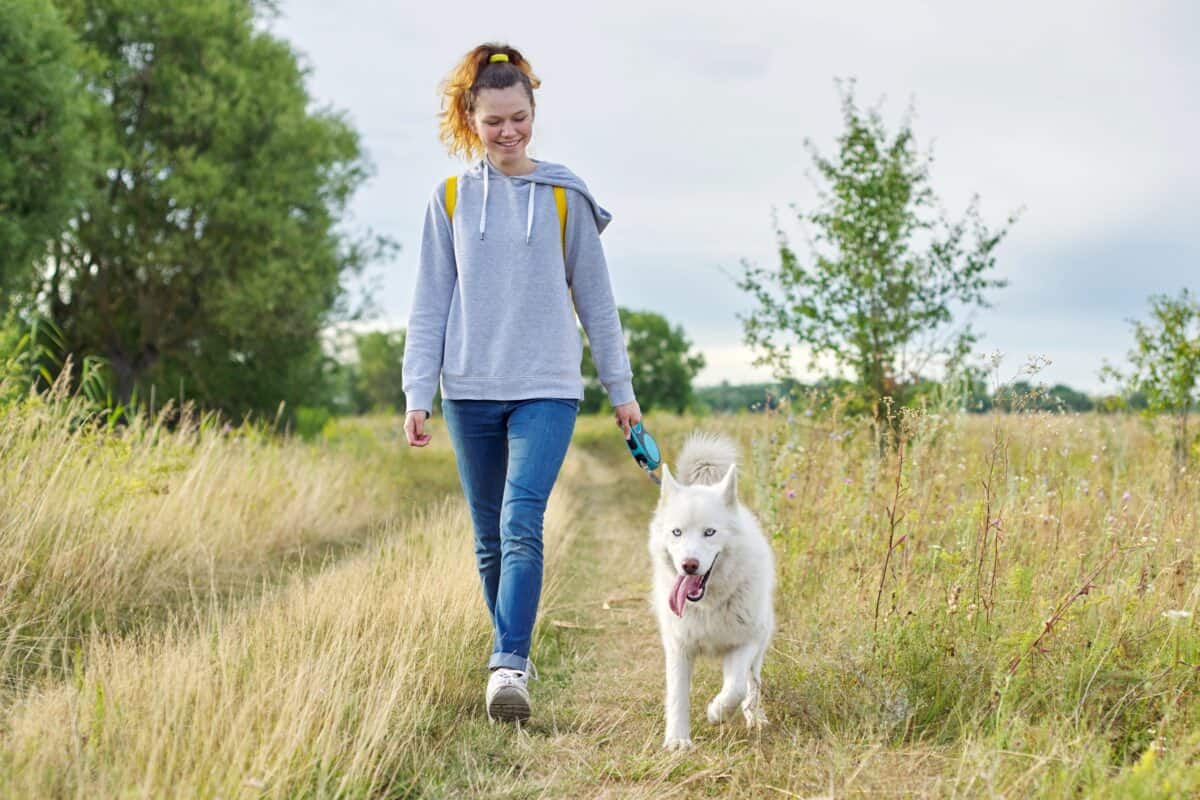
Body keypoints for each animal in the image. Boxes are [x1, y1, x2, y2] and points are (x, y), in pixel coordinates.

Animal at [648, 431, 777, 753]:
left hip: (761, 639)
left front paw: (717, 713)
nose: (689, 565)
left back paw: (755, 716)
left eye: (709, 532)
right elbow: (677, 696)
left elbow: (736, 687)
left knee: (752, 683)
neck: (708, 605)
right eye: (677, 532)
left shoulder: (744, 643)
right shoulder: (678, 647)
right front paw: (677, 740)